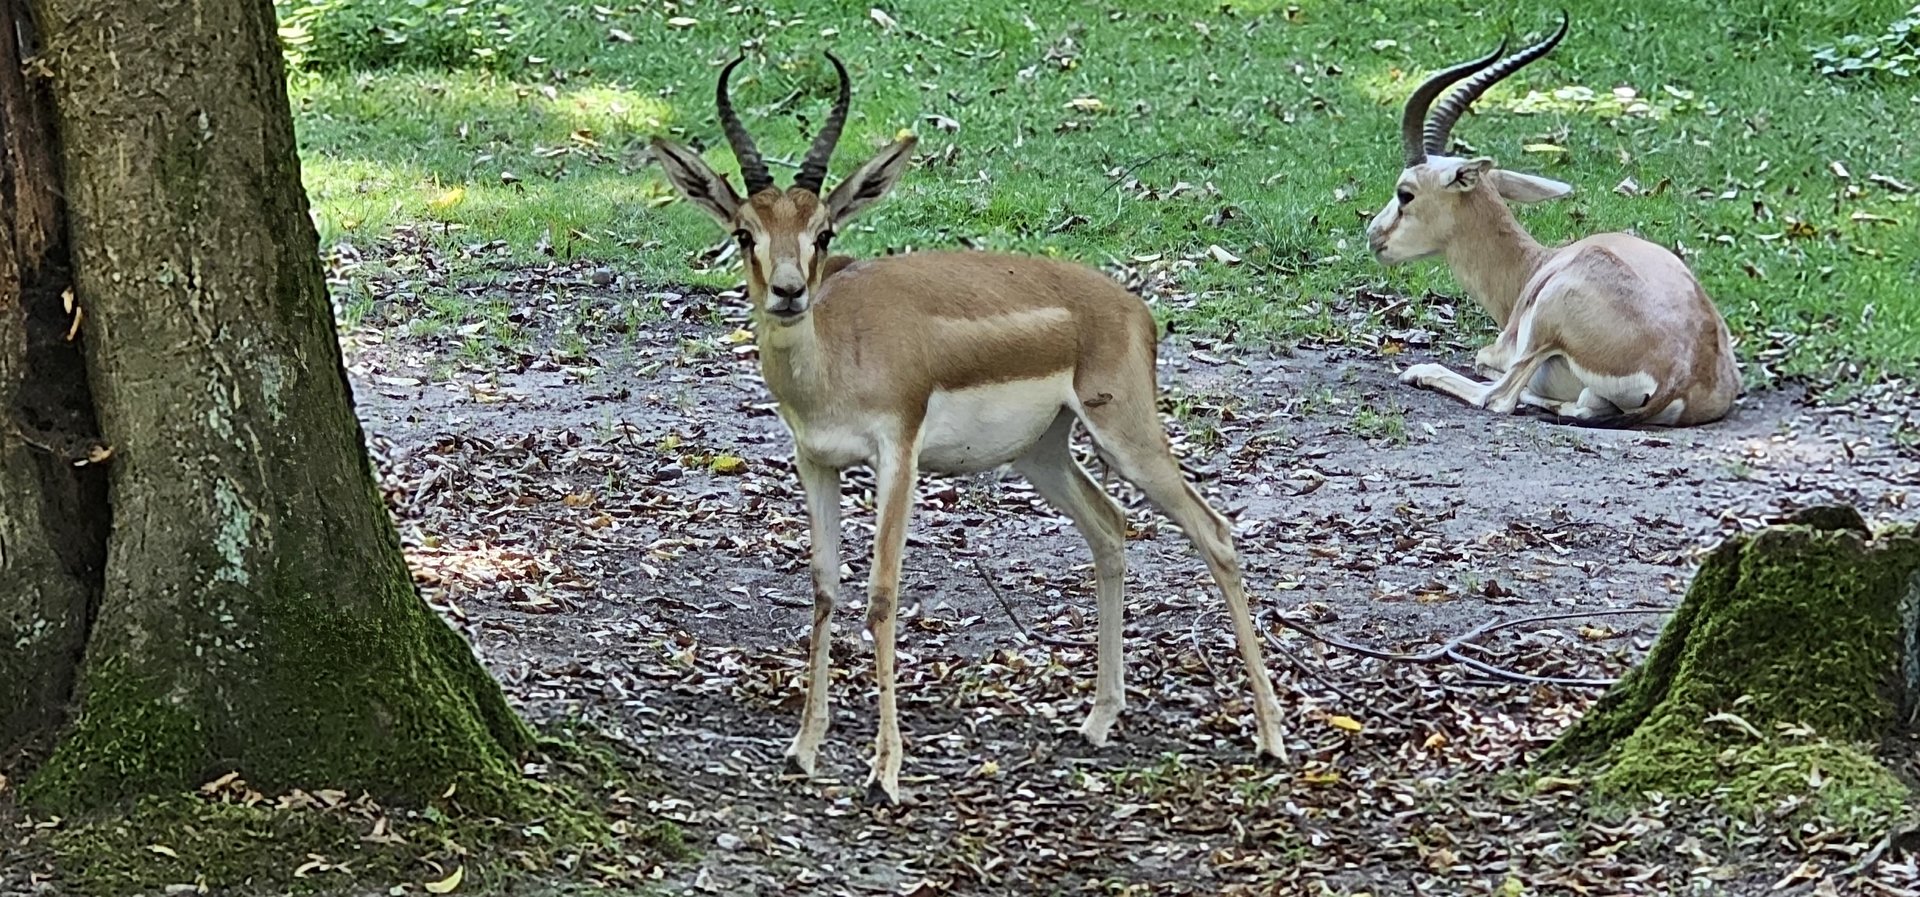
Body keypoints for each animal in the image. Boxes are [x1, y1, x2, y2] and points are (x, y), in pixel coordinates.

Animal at [649, 52, 1289, 804]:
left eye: (824, 232)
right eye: (744, 232)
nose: (787, 291)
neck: (837, 352)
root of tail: (1133, 307)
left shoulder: (897, 454)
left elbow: (882, 595)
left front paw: (885, 771)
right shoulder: (816, 461)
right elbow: (824, 587)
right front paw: (803, 749)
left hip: (1126, 435)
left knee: (1213, 532)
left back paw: (1271, 737)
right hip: (1043, 453)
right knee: (1110, 527)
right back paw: (1099, 718)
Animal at [1367, 15, 1740, 427]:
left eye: (1405, 193)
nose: (1374, 236)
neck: (1534, 266)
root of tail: (1681, 374)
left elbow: (1484, 364)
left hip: (1545, 320)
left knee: (1500, 397)